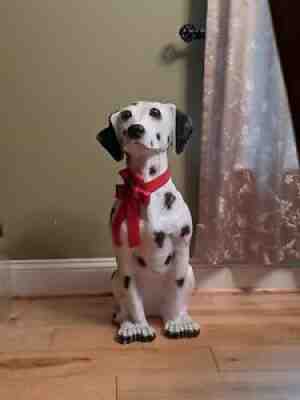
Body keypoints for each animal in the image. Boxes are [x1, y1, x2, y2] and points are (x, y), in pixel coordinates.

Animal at [98, 101, 199, 344]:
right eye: (126, 114)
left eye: (155, 112)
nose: (135, 129)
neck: (144, 190)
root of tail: (154, 309)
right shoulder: (124, 259)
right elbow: (133, 298)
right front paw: (138, 326)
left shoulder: (182, 249)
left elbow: (177, 291)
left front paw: (177, 323)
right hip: (115, 277)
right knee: (124, 307)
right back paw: (126, 322)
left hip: (191, 271)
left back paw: (183, 317)